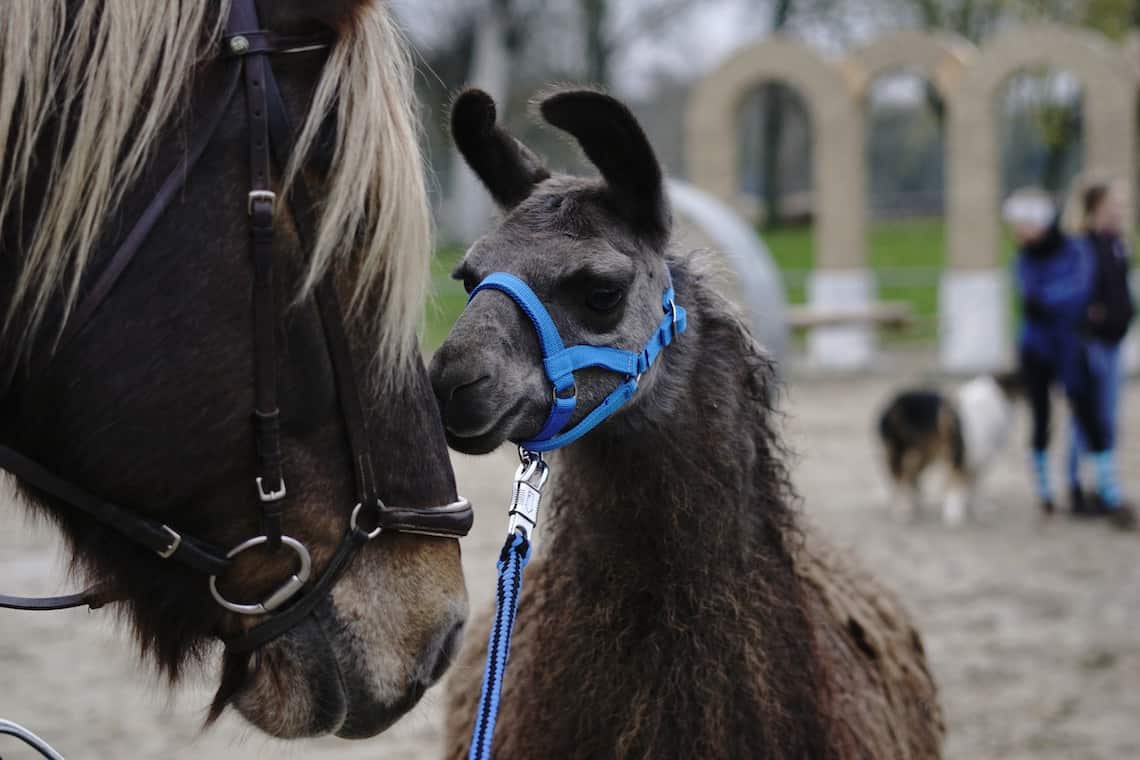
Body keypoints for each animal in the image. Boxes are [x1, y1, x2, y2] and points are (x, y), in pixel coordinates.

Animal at [875, 373, 1021, 524]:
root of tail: (890, 405)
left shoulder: (976, 460)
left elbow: (974, 486)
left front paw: (975, 508)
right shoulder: (961, 456)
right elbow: (959, 484)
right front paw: (954, 515)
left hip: (925, 452)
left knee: (911, 475)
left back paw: (914, 502)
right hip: (901, 451)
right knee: (899, 478)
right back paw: (902, 510)